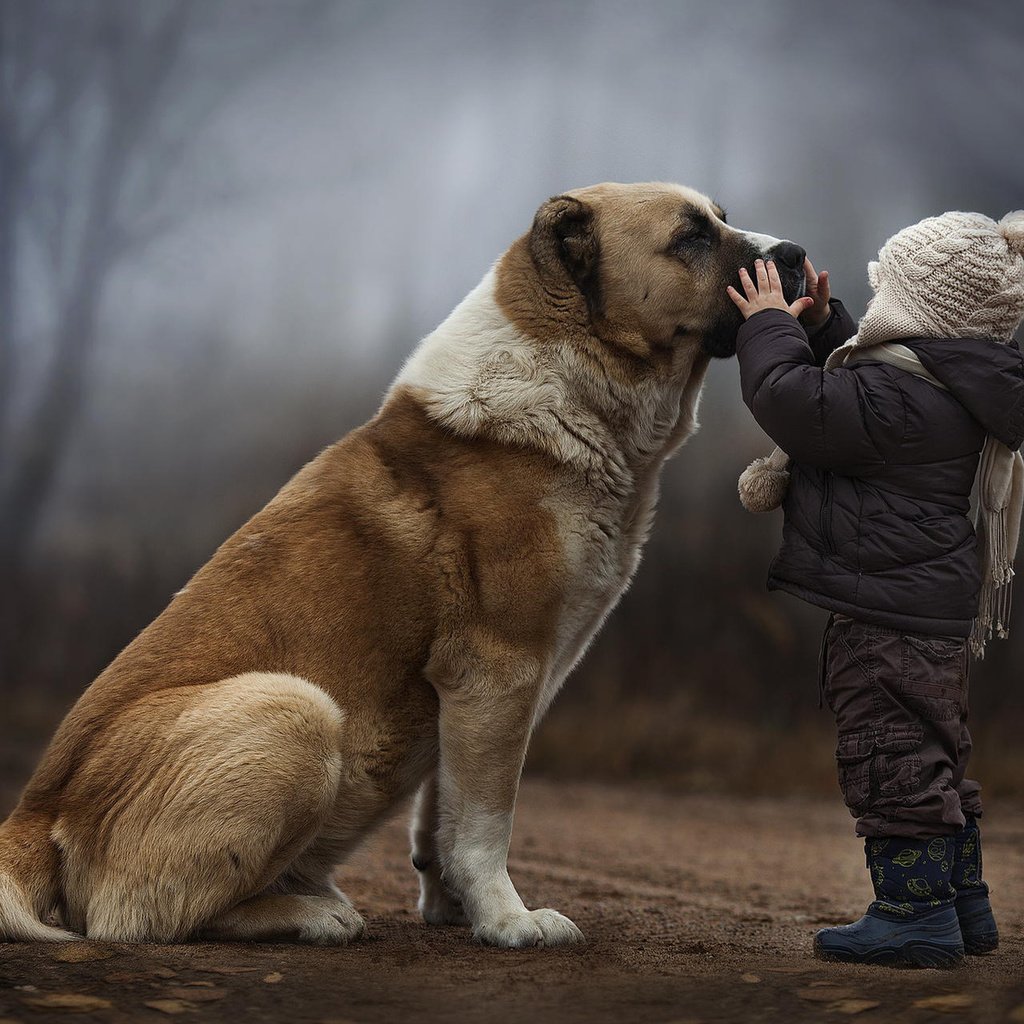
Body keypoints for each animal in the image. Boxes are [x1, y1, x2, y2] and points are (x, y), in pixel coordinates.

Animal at [0, 184, 798, 950]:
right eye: (690, 235)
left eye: (721, 217)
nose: (794, 253)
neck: (568, 380)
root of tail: (33, 816)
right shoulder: (499, 670)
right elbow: (485, 825)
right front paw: (509, 924)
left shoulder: (480, 694)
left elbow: (444, 815)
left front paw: (457, 910)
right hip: (295, 710)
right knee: (144, 919)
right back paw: (314, 914)